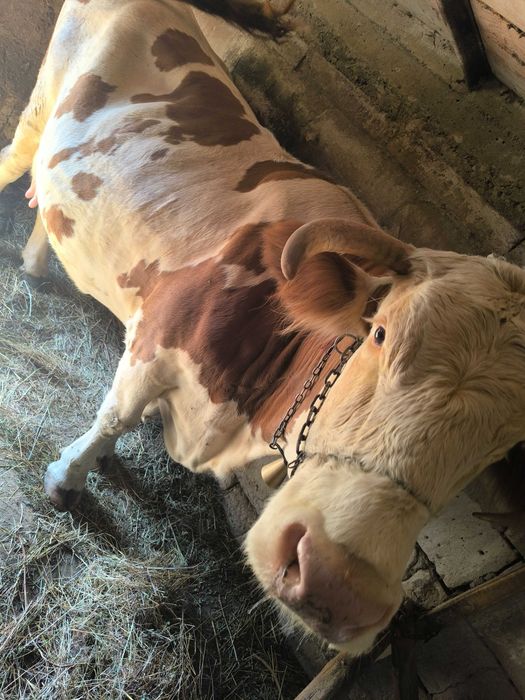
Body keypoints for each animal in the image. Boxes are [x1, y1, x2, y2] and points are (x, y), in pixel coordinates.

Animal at [1, 0, 525, 657]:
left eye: (501, 445)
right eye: (380, 333)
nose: (337, 586)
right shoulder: (156, 340)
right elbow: (112, 419)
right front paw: (66, 480)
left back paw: (35, 265)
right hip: (40, 105)